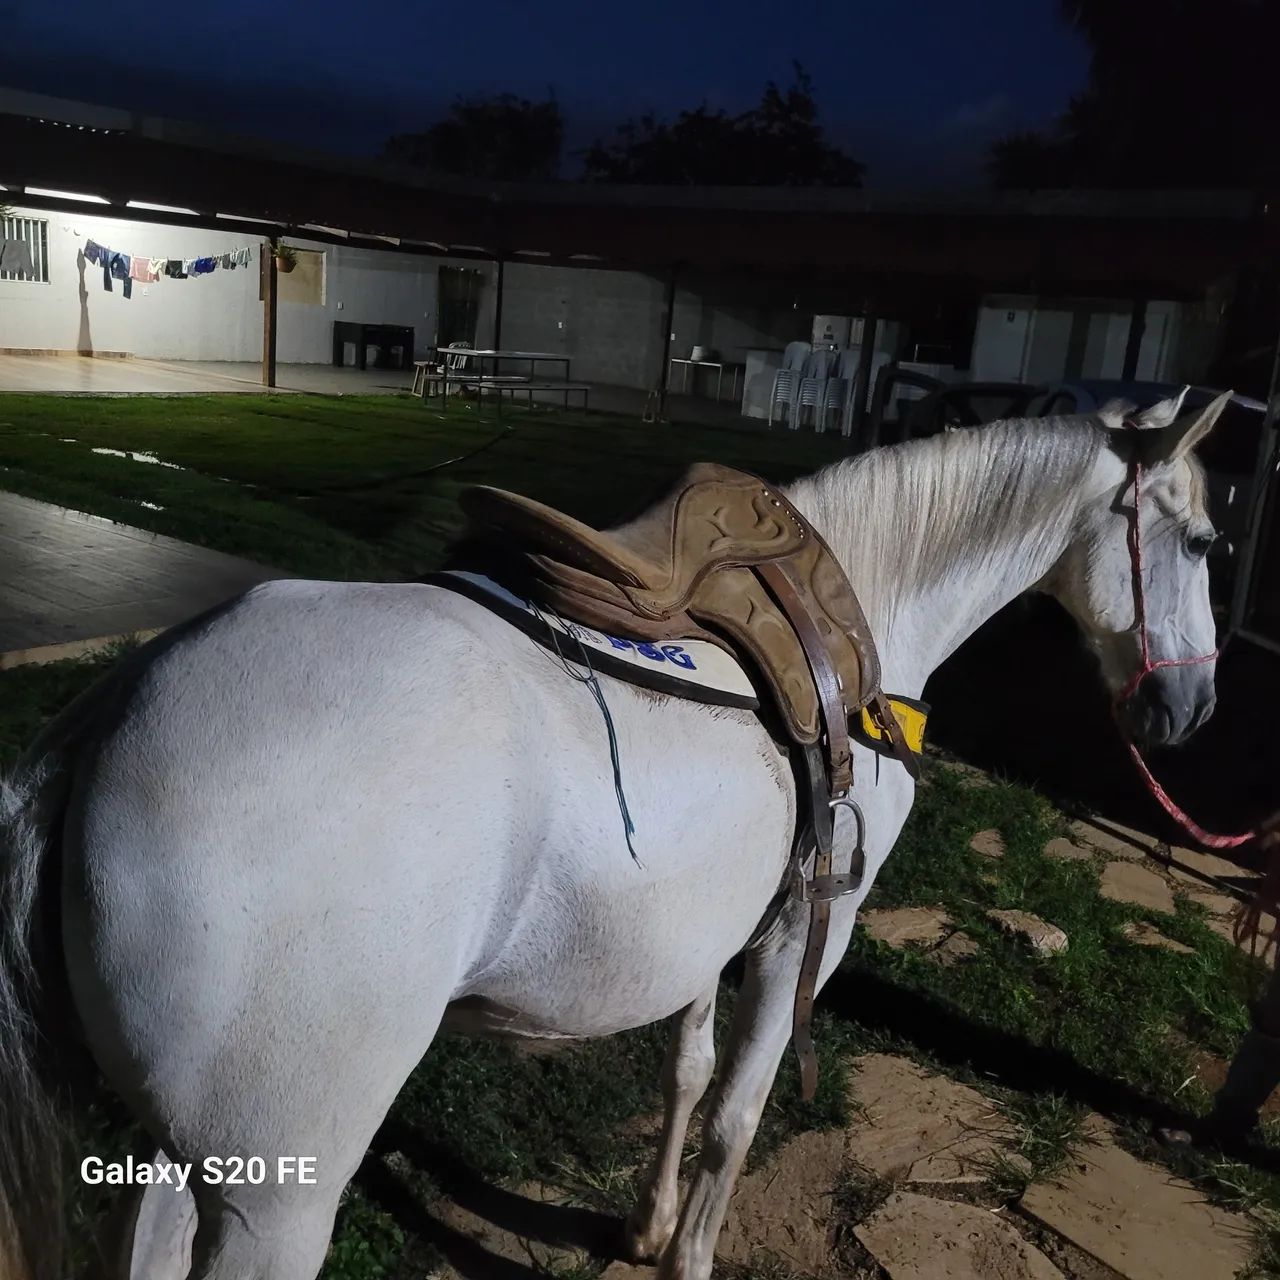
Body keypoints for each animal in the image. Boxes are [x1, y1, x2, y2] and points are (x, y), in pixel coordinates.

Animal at [0, 390, 1228, 1280]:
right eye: (1206, 541)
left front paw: (647, 1227)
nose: (1191, 710)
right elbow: (737, 1114)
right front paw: (686, 1256)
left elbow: (687, 1070)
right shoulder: (806, 936)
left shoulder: (718, 928)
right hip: (274, 1193)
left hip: (165, 1157)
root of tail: (103, 722)